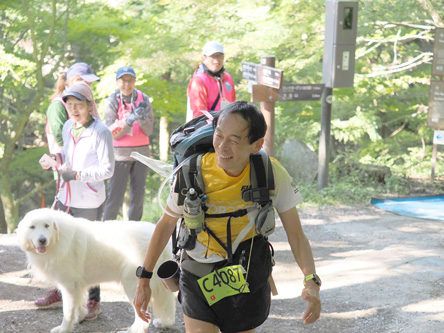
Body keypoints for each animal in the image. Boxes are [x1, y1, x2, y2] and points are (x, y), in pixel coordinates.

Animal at [17, 209, 177, 330]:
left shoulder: (69, 286)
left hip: (134, 285)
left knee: (143, 318)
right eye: (32, 227)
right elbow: (78, 304)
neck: (58, 240)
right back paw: (163, 323)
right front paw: (79, 317)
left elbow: (67, 312)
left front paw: (64, 329)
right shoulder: (76, 286)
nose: (42, 240)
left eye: (46, 225)